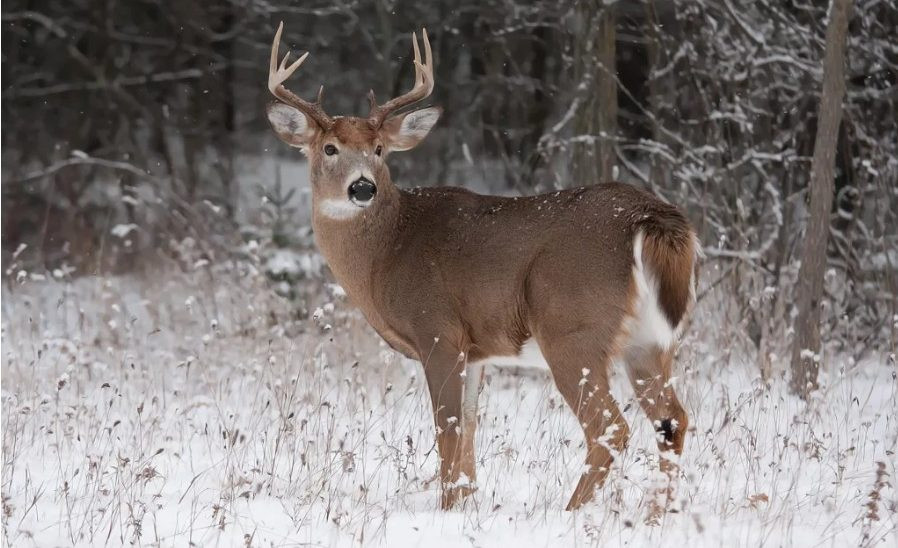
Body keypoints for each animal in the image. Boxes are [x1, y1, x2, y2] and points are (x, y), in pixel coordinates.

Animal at [265, 22, 700, 513]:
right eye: (330, 148)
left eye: (379, 148)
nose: (362, 188)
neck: (387, 252)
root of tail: (648, 217)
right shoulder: (474, 350)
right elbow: (471, 429)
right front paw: (464, 502)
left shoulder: (437, 331)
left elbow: (448, 431)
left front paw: (445, 509)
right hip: (649, 341)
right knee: (672, 420)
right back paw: (657, 514)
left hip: (573, 330)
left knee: (610, 427)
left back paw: (571, 512)